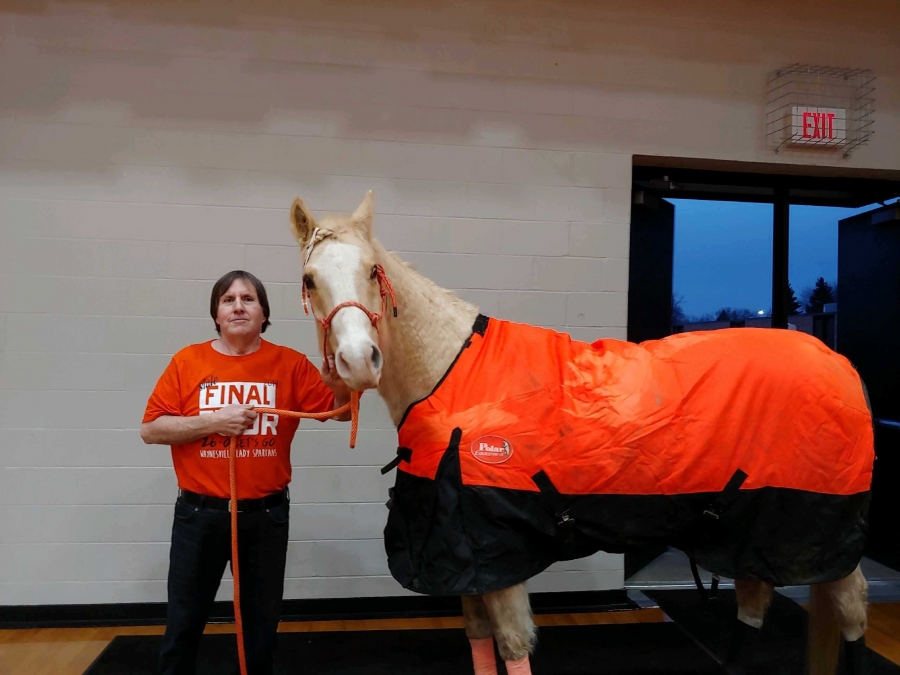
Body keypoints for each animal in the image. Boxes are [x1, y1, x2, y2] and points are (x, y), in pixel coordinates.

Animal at [288, 191, 872, 675]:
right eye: (310, 279)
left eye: (372, 271)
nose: (359, 361)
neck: (451, 376)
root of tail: (838, 362)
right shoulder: (463, 564)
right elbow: (479, 643)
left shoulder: (500, 558)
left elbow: (513, 650)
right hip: (753, 536)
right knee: (754, 611)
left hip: (812, 534)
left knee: (854, 616)